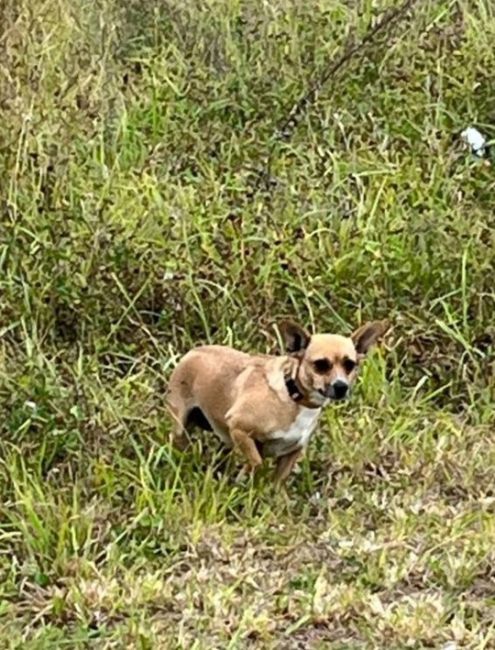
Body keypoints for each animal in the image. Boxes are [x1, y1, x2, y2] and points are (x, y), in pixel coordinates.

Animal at [169, 318, 390, 480]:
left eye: (350, 365)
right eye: (320, 365)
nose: (341, 386)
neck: (295, 398)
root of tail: (192, 351)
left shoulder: (292, 453)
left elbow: (277, 483)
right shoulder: (239, 428)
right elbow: (257, 463)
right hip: (181, 428)